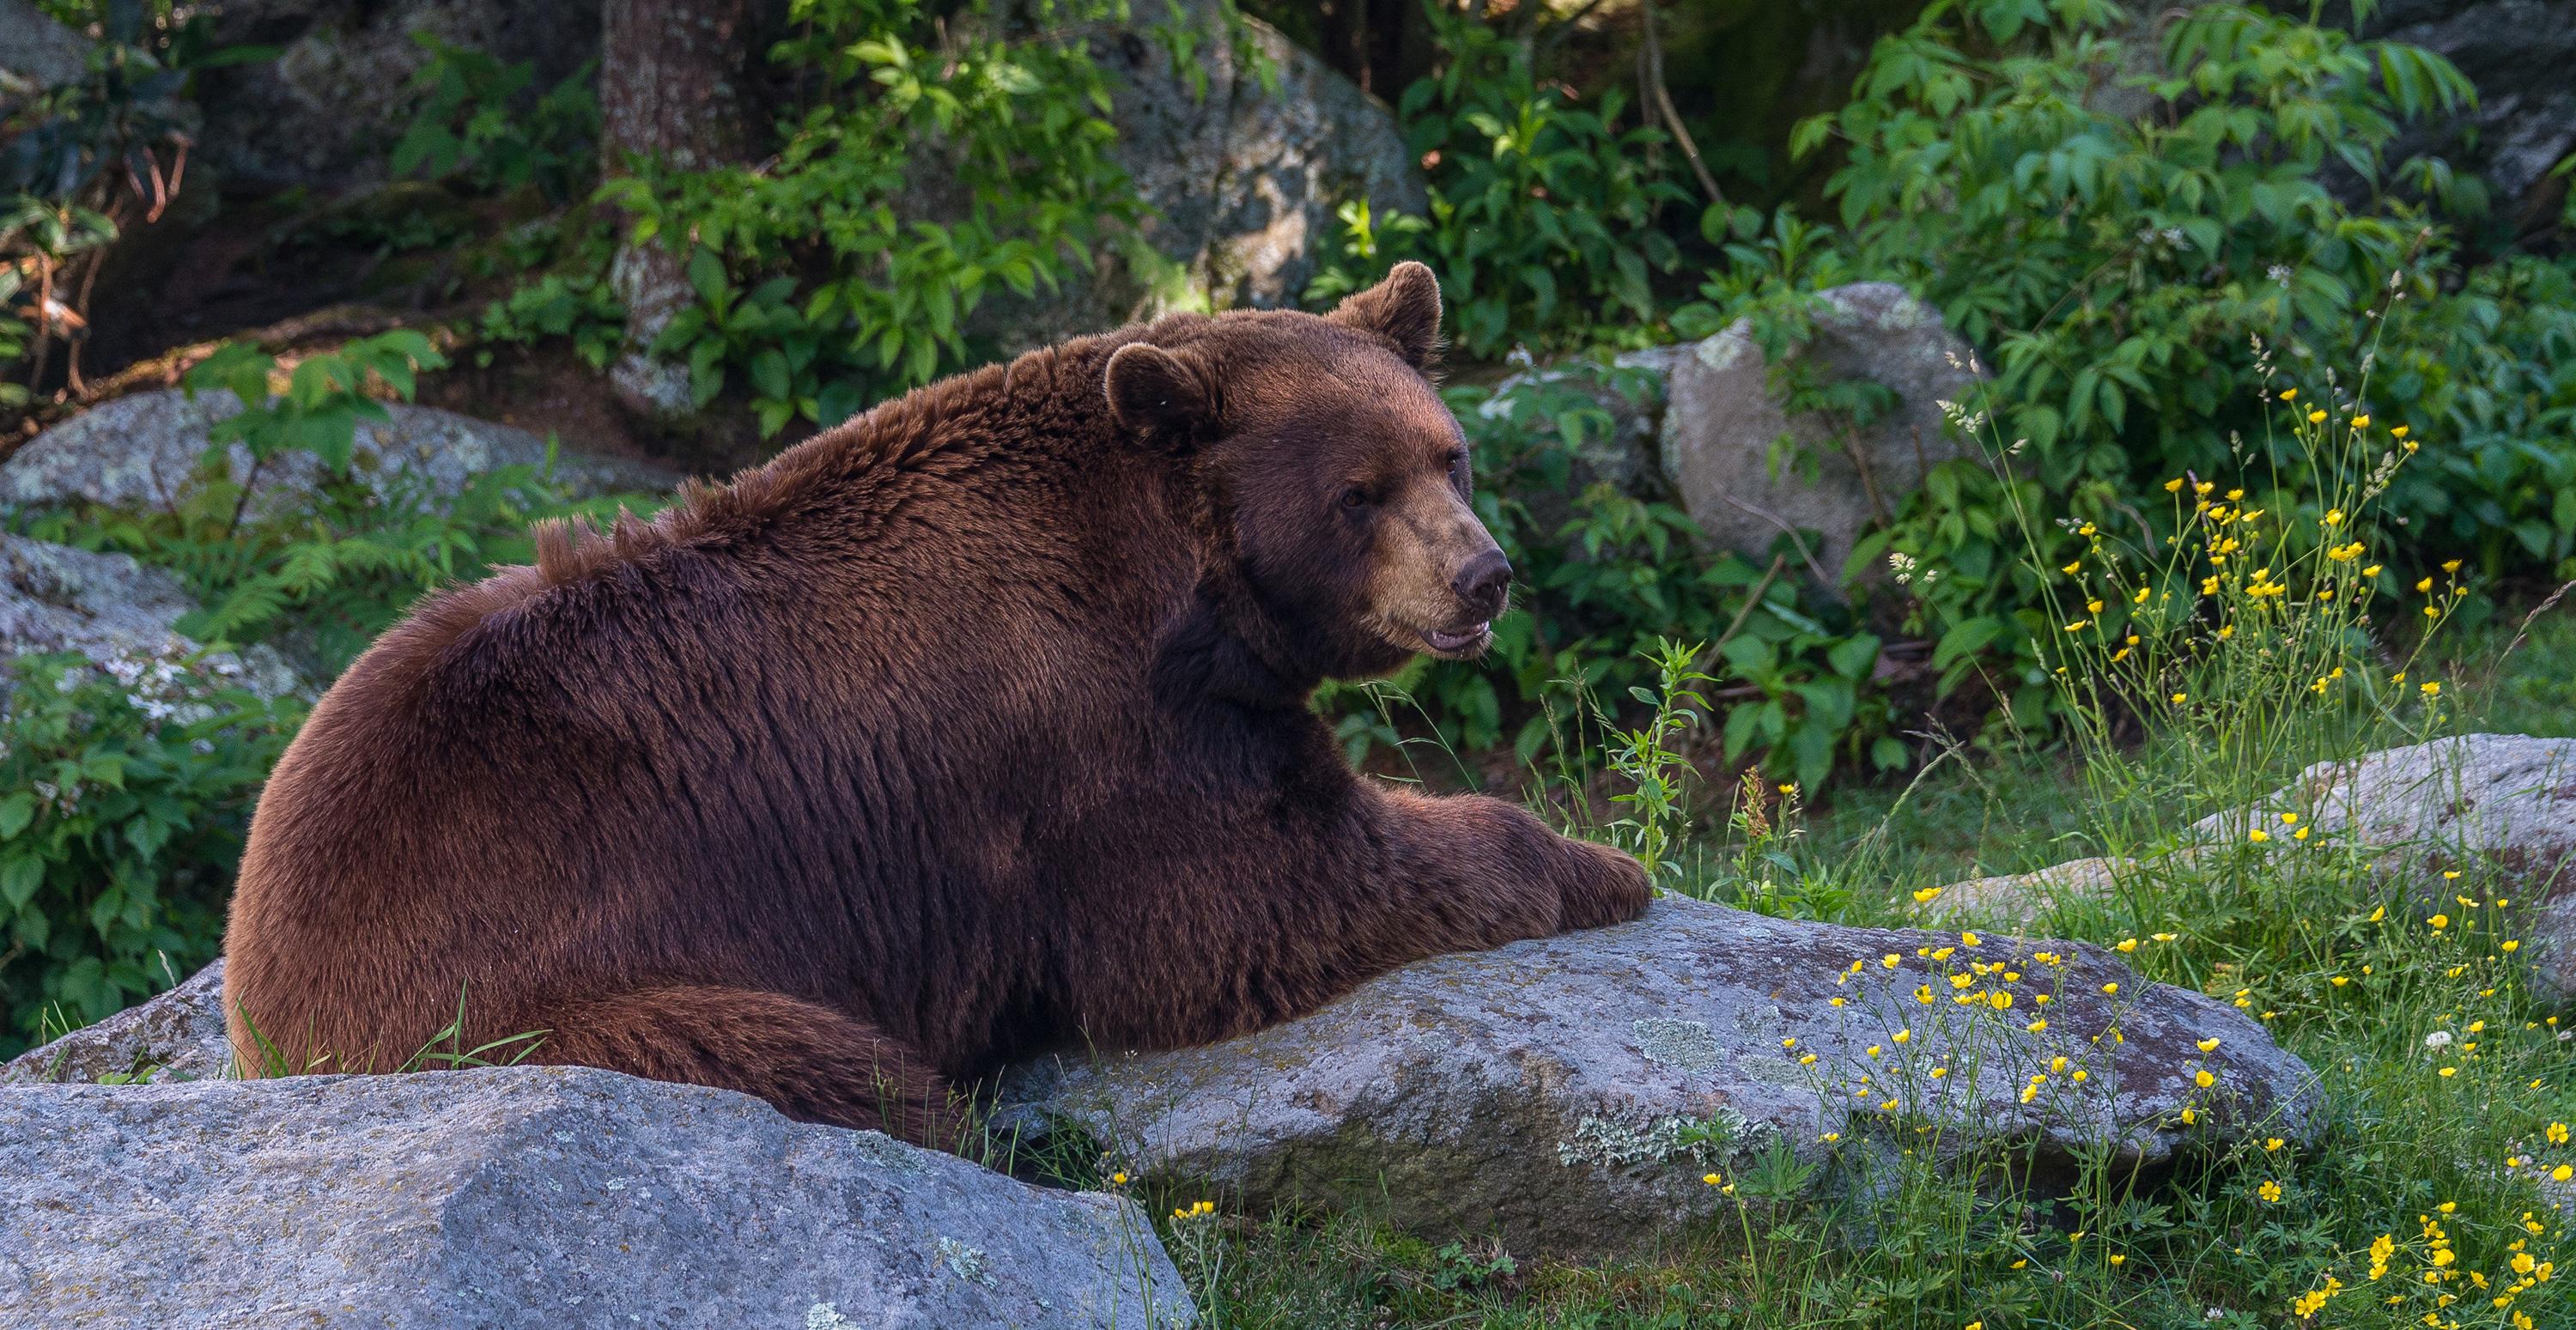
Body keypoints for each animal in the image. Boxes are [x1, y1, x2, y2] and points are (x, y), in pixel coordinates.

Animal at [220, 262, 1651, 1143]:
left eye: (1449, 455)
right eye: (1359, 493)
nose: (1482, 574)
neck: (1178, 593)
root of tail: (254, 972)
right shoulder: (1083, 740)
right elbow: (1251, 889)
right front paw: (1599, 862)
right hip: (529, 1002)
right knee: (833, 1069)